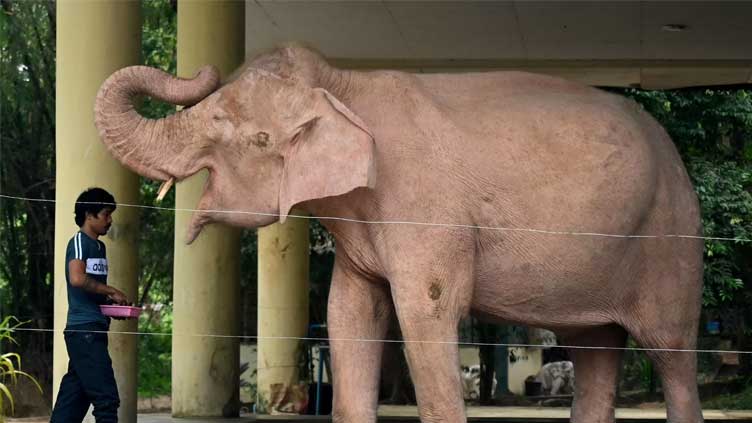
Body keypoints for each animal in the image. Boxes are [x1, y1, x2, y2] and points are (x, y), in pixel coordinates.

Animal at [94, 45, 704, 423]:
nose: (202, 68)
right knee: (594, 349)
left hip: (671, 236)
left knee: (672, 353)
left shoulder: (426, 210)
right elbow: (349, 314)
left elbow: (426, 311)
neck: (344, 85)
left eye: (252, 137)